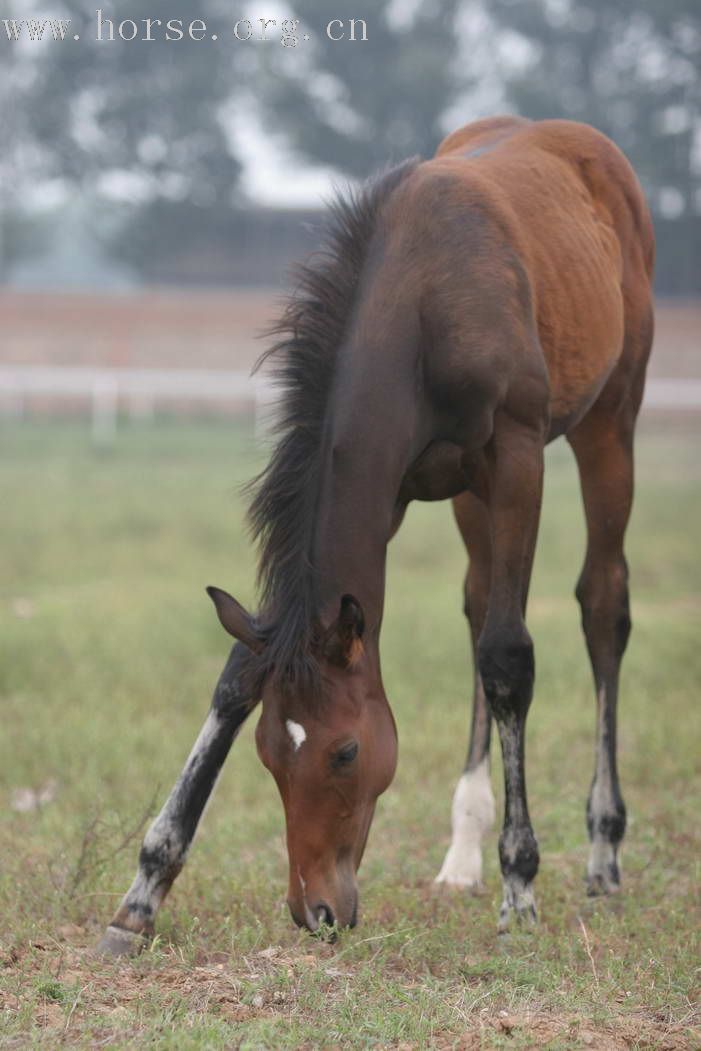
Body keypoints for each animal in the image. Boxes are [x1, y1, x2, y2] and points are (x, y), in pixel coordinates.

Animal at [97, 115, 651, 954]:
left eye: (346, 750)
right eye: (267, 751)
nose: (316, 911)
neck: (421, 303)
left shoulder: (517, 456)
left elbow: (509, 657)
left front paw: (521, 883)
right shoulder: (391, 488)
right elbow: (239, 669)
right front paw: (143, 891)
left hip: (608, 423)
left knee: (600, 605)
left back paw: (601, 850)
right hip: (470, 496)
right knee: (479, 602)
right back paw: (461, 854)